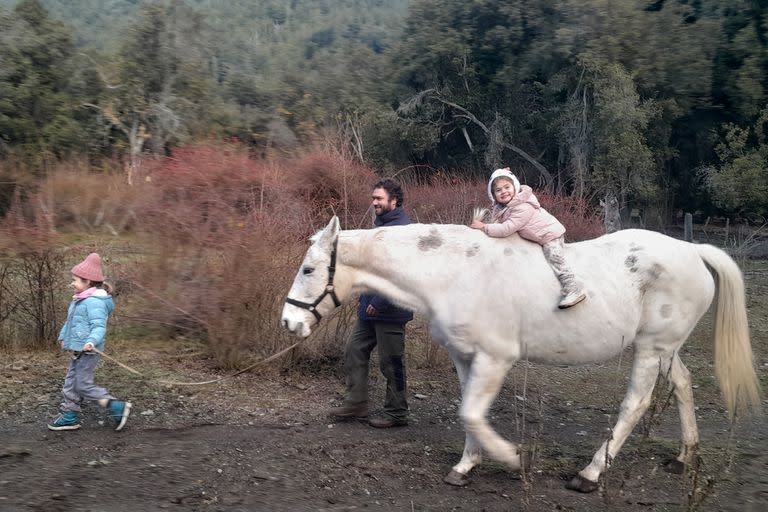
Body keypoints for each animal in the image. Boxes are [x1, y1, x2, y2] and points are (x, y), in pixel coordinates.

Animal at [280, 216, 760, 492]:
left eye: (309, 268)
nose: (289, 322)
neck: (454, 271)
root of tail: (692, 250)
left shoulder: (496, 358)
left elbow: (472, 413)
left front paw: (515, 459)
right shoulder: (466, 358)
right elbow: (468, 411)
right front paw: (466, 465)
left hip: (650, 348)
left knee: (636, 404)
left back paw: (590, 473)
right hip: (664, 349)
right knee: (682, 383)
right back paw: (684, 456)